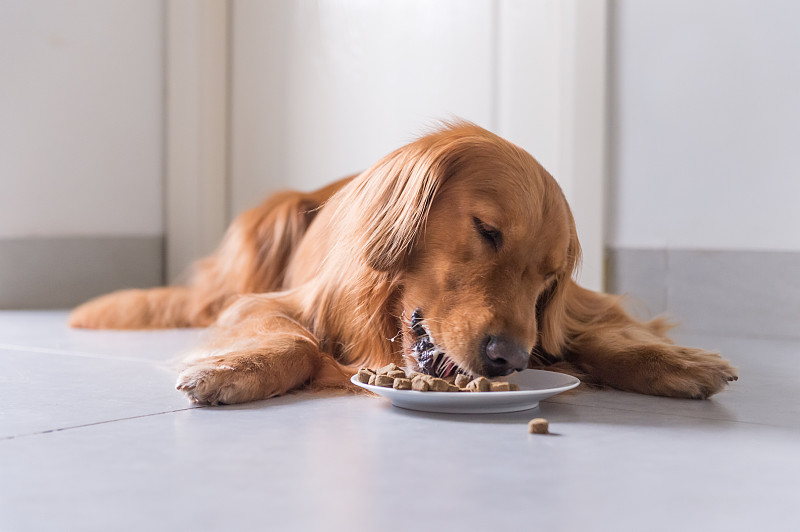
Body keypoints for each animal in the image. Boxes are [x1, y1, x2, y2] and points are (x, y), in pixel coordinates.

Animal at [70, 121, 736, 404]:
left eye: (549, 280)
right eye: (487, 231)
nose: (509, 359)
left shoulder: (580, 309)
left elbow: (608, 332)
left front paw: (675, 361)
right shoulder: (269, 303)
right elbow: (296, 341)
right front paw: (236, 369)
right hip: (271, 220)